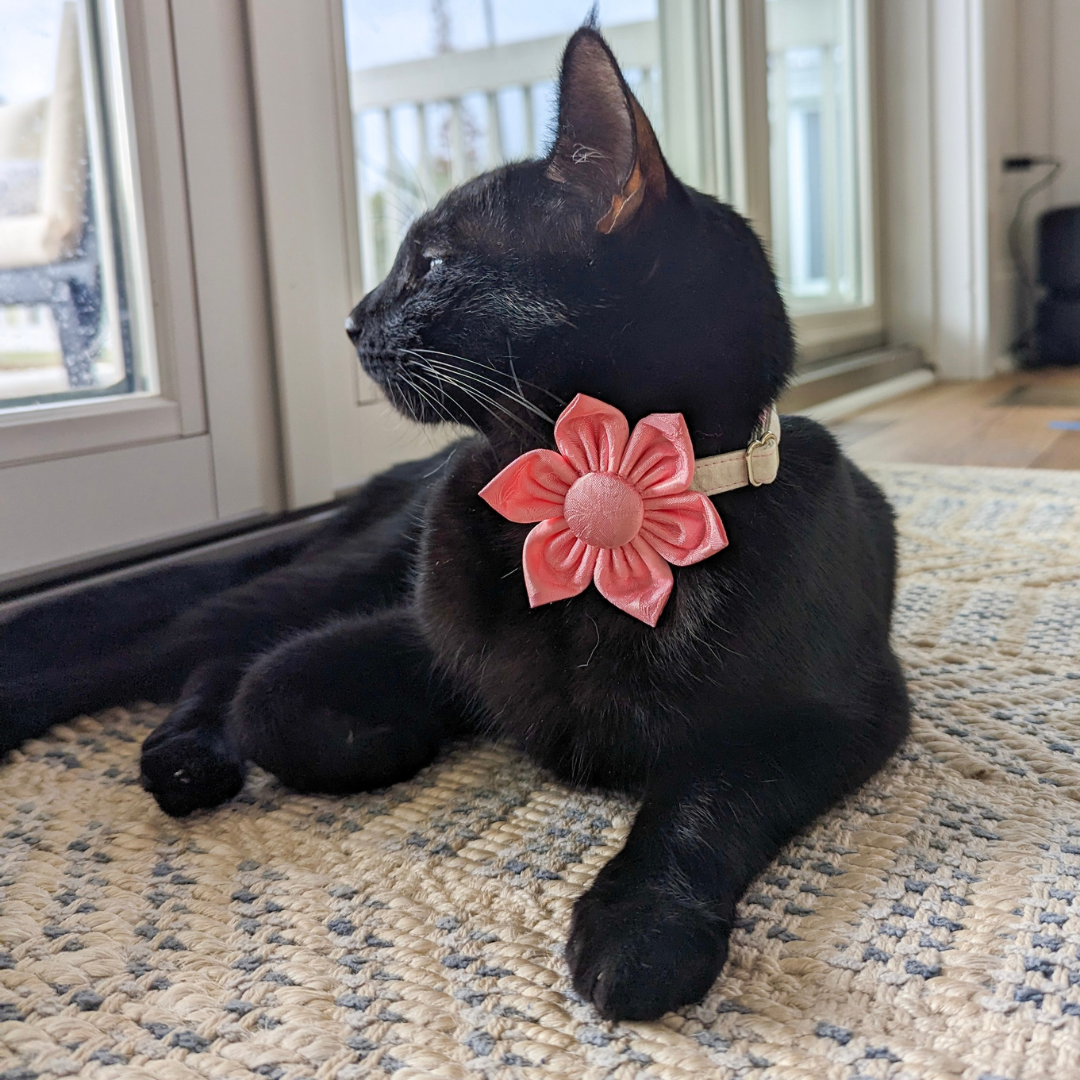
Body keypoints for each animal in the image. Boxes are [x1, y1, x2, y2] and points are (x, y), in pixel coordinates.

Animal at [0, 25, 907, 1019]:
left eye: (430, 265)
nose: (350, 320)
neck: (585, 508)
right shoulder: (419, 631)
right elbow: (277, 698)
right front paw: (404, 734)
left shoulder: (837, 713)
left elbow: (709, 797)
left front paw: (644, 923)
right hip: (341, 572)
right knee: (205, 643)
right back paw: (177, 748)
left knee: (215, 653)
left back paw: (188, 754)